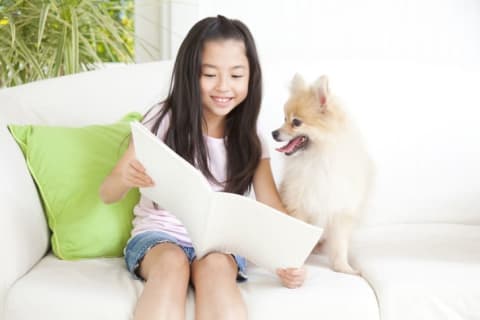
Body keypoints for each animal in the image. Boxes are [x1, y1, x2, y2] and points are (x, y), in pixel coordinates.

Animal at [272, 74, 374, 276]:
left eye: (296, 122)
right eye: (284, 118)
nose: (274, 133)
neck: (318, 160)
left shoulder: (340, 210)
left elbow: (340, 245)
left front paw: (343, 268)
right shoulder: (298, 206)